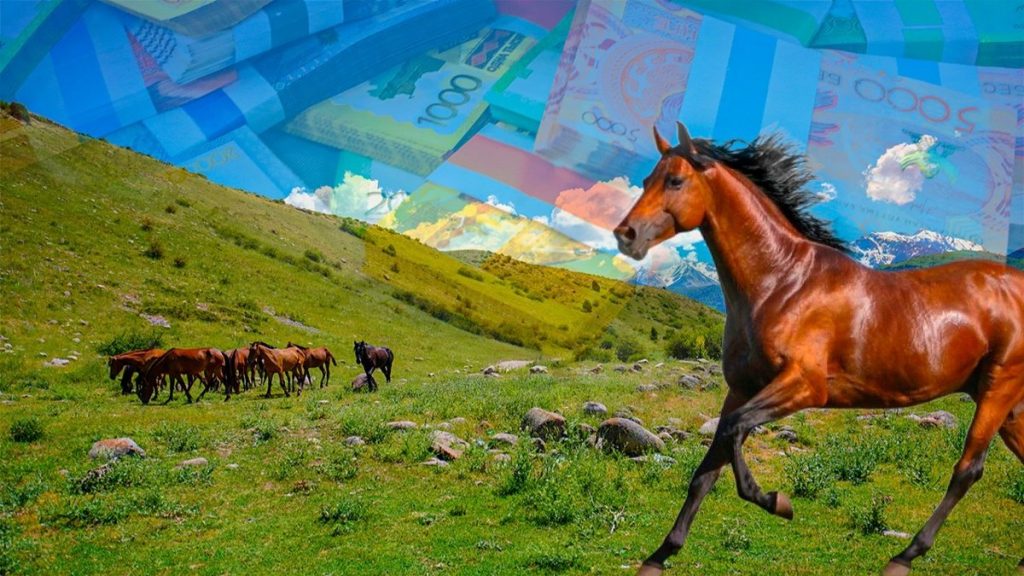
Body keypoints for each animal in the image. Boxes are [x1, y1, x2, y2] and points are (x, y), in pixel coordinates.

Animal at [614, 123, 1024, 576]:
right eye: (646, 180)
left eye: (674, 180)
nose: (625, 235)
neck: (783, 282)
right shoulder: (740, 389)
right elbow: (706, 471)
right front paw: (659, 555)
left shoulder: (806, 385)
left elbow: (737, 432)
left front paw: (778, 502)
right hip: (1007, 405)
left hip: (999, 388)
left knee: (967, 469)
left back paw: (903, 556)